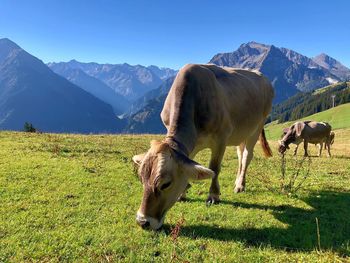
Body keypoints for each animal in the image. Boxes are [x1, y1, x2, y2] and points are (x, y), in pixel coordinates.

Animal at [131, 64, 274, 231]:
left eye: (166, 184)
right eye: (141, 179)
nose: (142, 221)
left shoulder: (221, 138)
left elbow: (214, 168)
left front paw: (213, 196)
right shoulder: (189, 147)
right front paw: (182, 193)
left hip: (257, 127)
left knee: (246, 156)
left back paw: (240, 185)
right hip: (241, 132)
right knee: (240, 154)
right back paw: (237, 181)